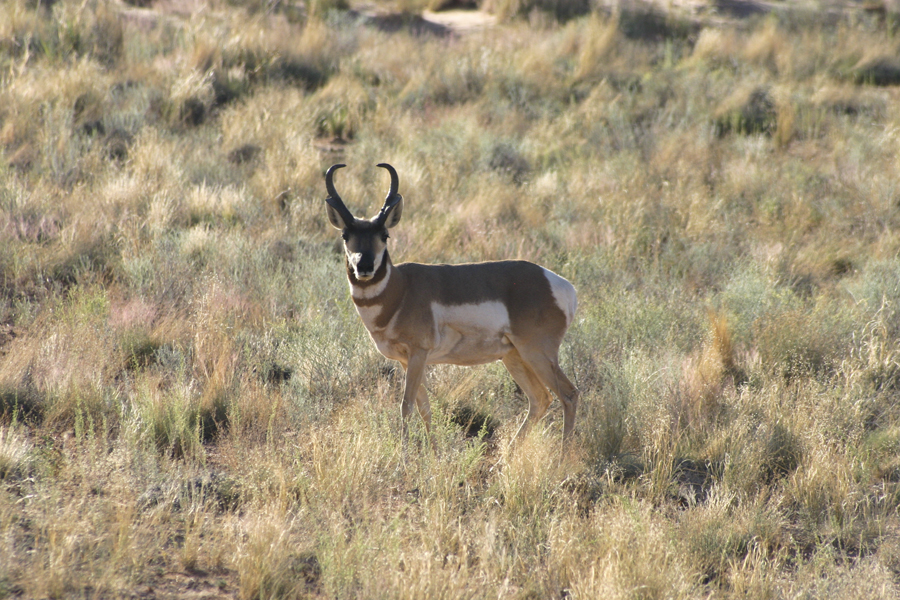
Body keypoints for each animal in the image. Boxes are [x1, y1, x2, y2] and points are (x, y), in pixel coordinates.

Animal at [326, 164, 580, 450]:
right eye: (346, 235)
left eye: (384, 234)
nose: (365, 266)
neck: (401, 289)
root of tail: (559, 284)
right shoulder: (406, 360)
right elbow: (424, 407)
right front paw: (433, 453)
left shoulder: (418, 354)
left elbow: (406, 405)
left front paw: (404, 456)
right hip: (514, 356)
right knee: (540, 399)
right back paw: (505, 456)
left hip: (536, 353)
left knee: (569, 395)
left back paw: (561, 457)